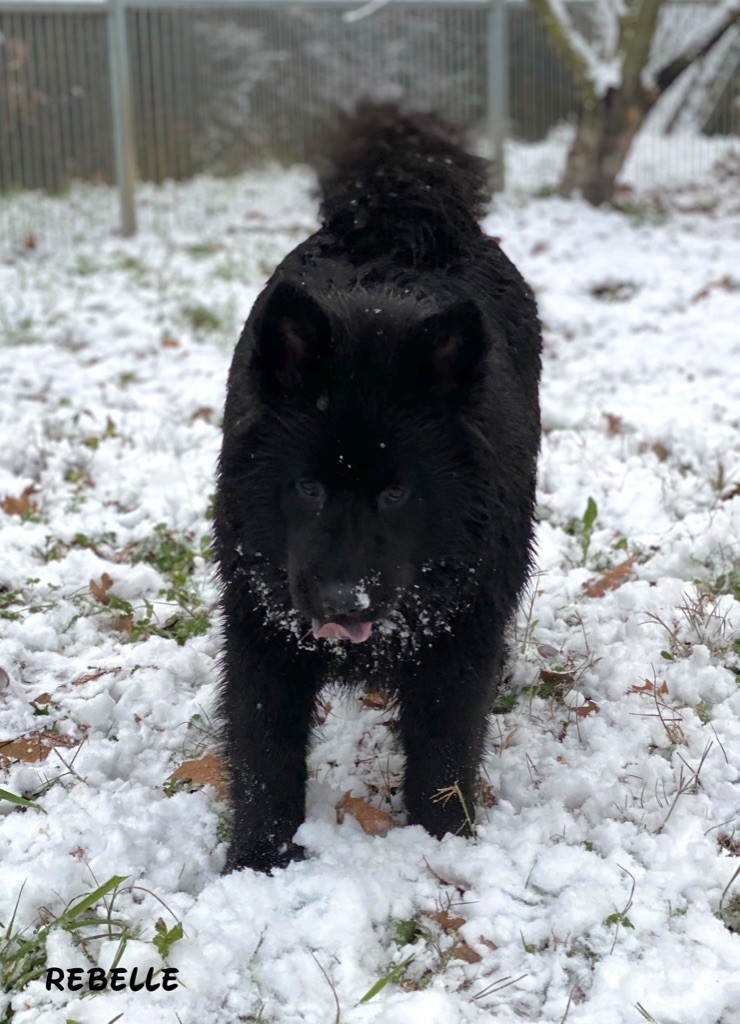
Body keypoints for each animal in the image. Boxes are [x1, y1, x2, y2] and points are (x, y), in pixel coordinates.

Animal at [213, 103, 544, 872]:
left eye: (396, 494)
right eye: (307, 487)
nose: (344, 600)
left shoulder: (461, 642)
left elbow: (444, 756)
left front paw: (444, 847)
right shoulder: (258, 631)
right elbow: (264, 756)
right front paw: (257, 863)